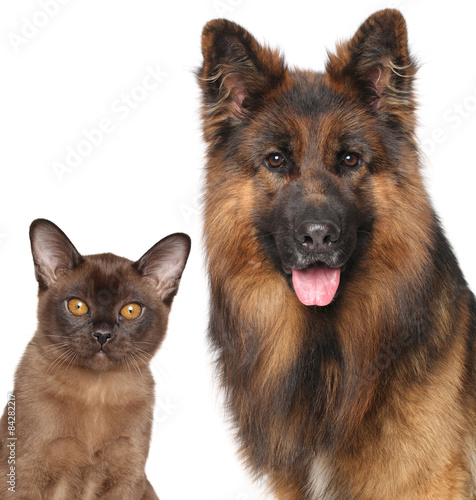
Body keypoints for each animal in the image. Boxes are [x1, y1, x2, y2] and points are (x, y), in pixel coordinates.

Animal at [0, 220, 190, 500]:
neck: (96, 393)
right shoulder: (23, 478)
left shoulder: (126, 480)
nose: (102, 335)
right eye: (77, 306)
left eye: (130, 310)